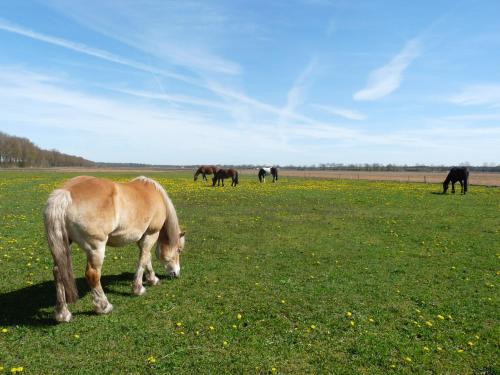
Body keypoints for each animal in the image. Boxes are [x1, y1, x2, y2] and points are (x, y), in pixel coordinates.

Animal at [44, 176, 186, 324]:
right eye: (179, 250)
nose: (177, 273)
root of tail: (65, 192)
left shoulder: (142, 238)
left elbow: (146, 259)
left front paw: (152, 279)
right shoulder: (151, 234)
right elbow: (143, 260)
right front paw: (138, 288)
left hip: (65, 245)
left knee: (58, 272)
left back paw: (62, 314)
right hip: (96, 248)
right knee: (93, 275)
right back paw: (104, 306)